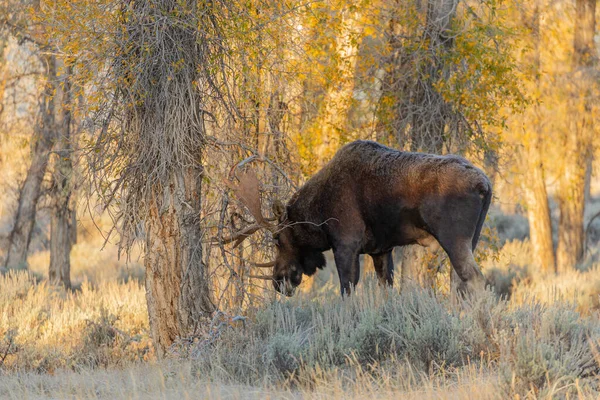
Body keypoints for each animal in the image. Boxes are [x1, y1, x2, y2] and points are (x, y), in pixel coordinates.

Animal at [230, 141, 492, 296]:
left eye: (277, 239)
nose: (278, 281)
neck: (318, 216)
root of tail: (485, 185)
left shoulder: (345, 244)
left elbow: (346, 291)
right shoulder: (381, 250)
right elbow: (385, 290)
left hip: (454, 238)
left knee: (475, 279)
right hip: (473, 238)